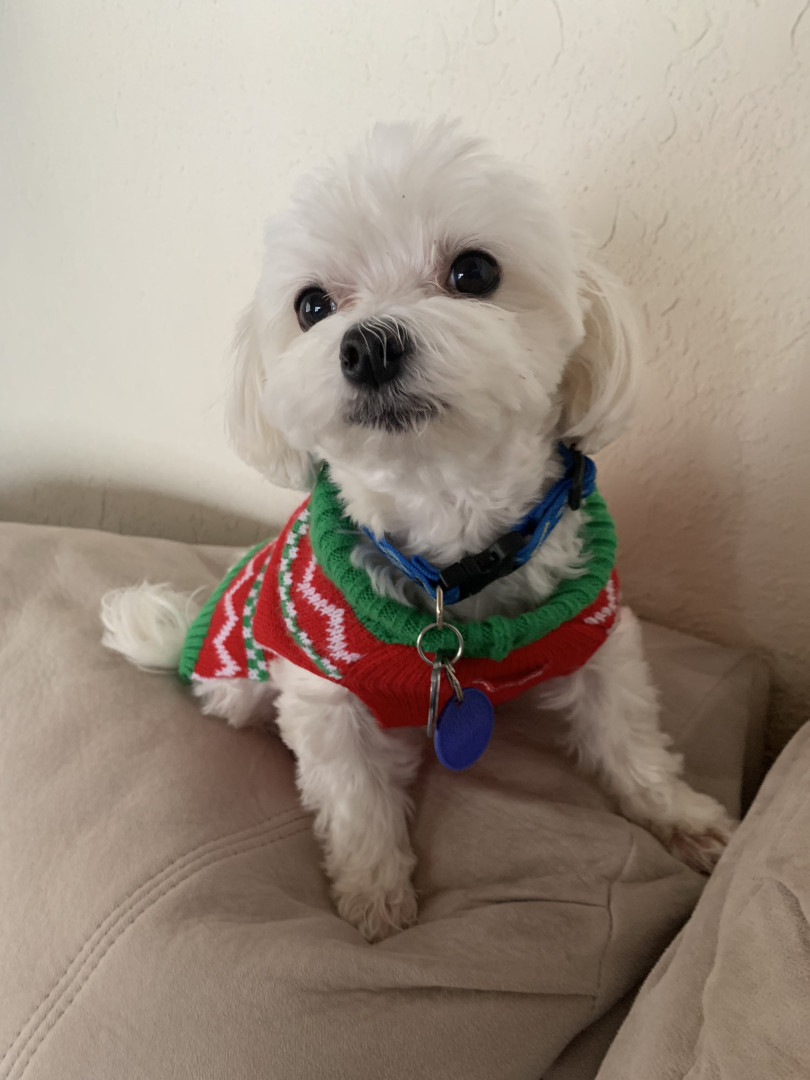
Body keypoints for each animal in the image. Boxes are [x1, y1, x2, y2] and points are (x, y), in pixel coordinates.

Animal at [101, 122, 734, 942]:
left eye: (474, 270)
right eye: (311, 306)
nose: (366, 345)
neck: (450, 548)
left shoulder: (597, 631)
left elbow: (627, 733)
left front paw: (680, 816)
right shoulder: (322, 692)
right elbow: (352, 797)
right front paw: (374, 893)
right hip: (240, 678)